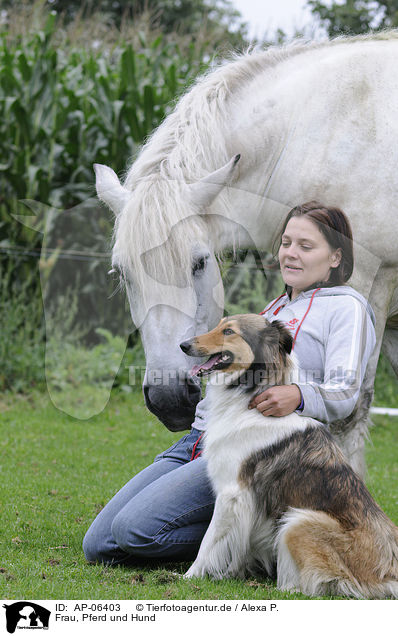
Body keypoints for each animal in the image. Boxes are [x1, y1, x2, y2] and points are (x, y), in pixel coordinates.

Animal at [95, 32, 398, 474]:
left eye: (199, 263)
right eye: (123, 274)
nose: (169, 399)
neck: (307, 138)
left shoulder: (369, 288)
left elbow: (350, 415)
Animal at [180, 316, 398, 600]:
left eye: (229, 331)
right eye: (219, 324)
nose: (183, 345)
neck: (251, 400)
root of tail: (389, 574)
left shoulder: (232, 494)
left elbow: (209, 541)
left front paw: (190, 576)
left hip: (298, 521)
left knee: (315, 585)